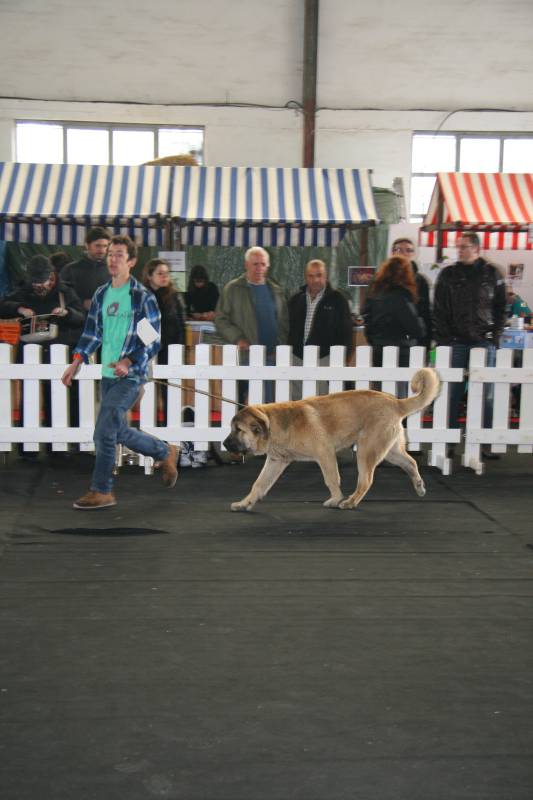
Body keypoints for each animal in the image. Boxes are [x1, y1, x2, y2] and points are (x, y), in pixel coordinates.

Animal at [223, 367, 439, 512]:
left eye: (238, 429)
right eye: (232, 428)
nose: (224, 444)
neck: (274, 425)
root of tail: (396, 402)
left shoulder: (325, 454)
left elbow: (332, 479)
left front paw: (335, 499)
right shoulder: (276, 461)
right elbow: (259, 484)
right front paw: (245, 503)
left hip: (366, 450)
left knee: (366, 480)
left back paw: (350, 502)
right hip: (390, 451)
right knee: (410, 463)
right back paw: (419, 486)